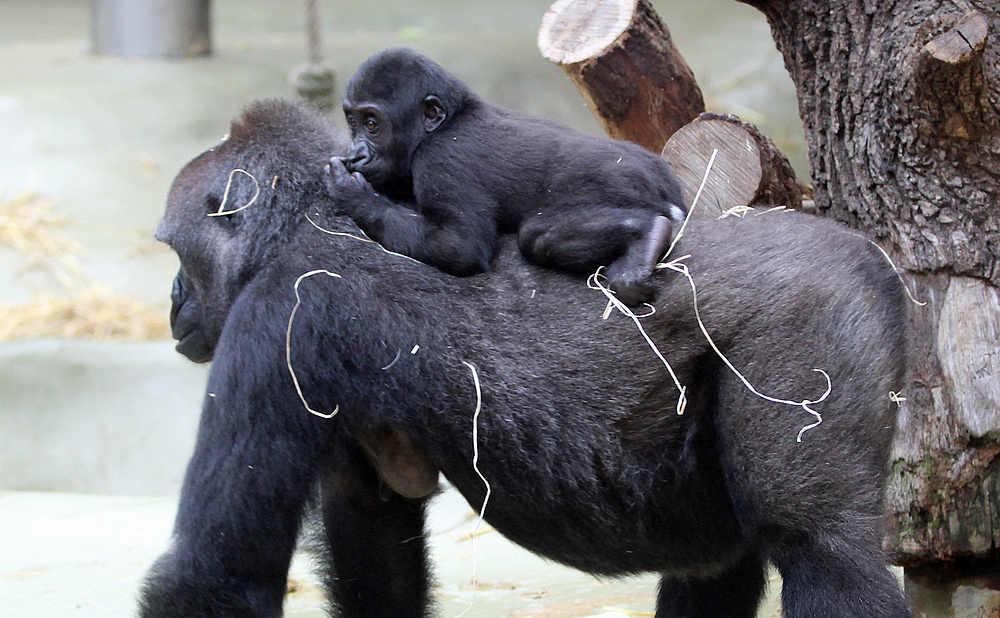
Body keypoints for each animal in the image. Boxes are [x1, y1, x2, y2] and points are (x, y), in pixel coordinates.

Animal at [141, 98, 916, 612]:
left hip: (814, 321)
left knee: (822, 554)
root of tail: (872, 258)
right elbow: (372, 535)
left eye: (176, 253)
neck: (310, 219)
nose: (172, 303)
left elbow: (215, 569)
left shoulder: (278, 314)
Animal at [324, 47, 684, 304]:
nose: (356, 154)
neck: (451, 119)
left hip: (622, 183)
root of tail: (666, 182)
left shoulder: (443, 159)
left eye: (372, 124)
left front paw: (354, 195)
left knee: (536, 235)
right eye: (352, 123)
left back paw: (646, 234)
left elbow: (459, 246)